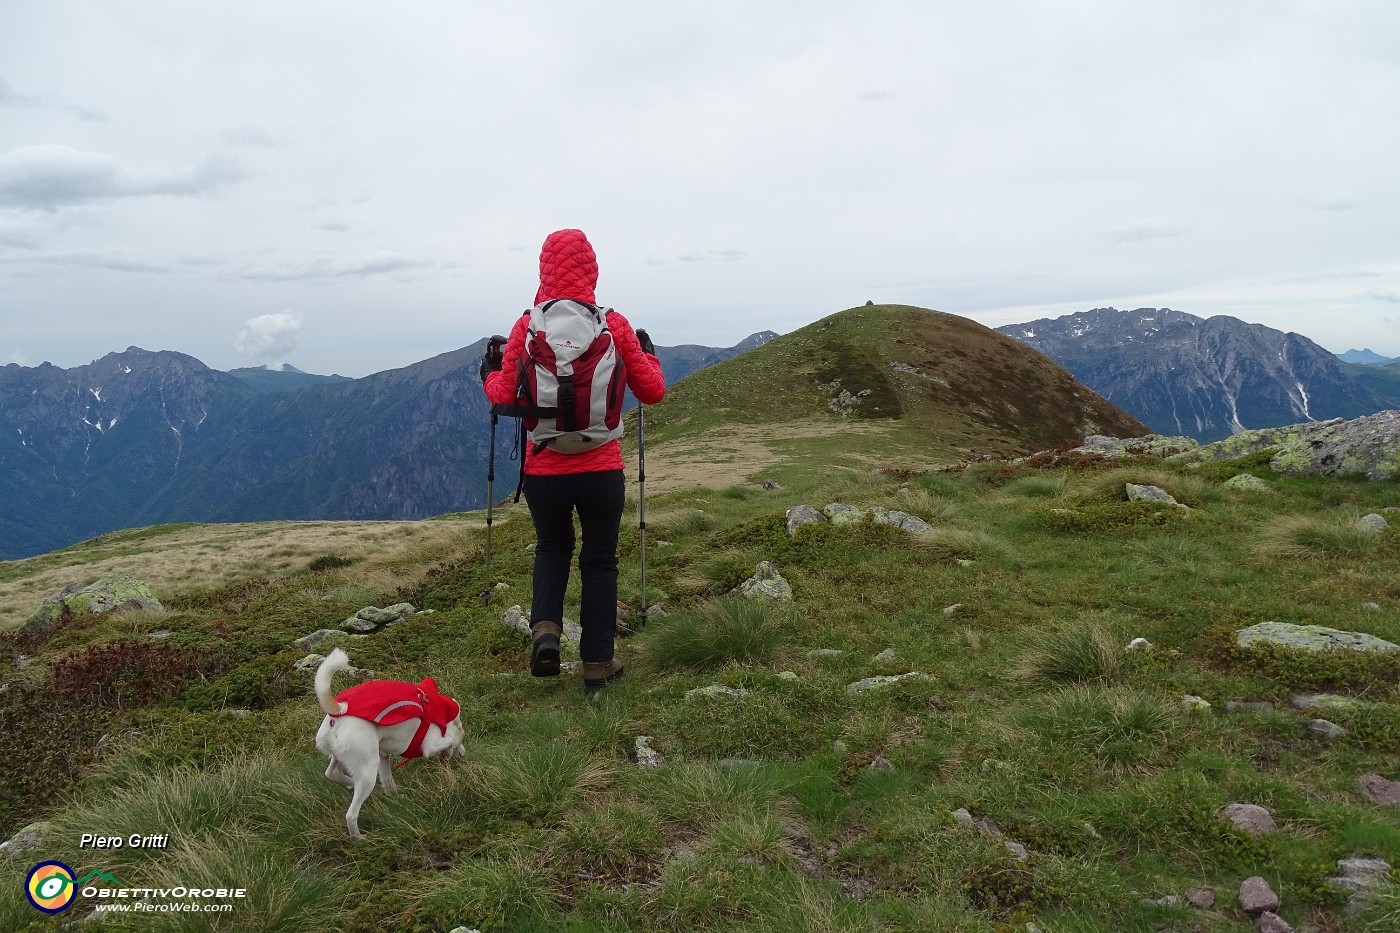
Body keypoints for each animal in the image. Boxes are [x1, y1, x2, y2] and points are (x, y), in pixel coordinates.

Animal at [312, 647, 464, 834]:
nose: (463, 755)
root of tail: (339, 711)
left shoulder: (384, 756)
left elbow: (388, 782)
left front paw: (396, 798)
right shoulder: (430, 745)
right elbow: (448, 740)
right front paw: (449, 749)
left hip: (346, 757)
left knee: (332, 773)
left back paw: (352, 784)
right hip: (368, 769)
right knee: (351, 815)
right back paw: (358, 837)